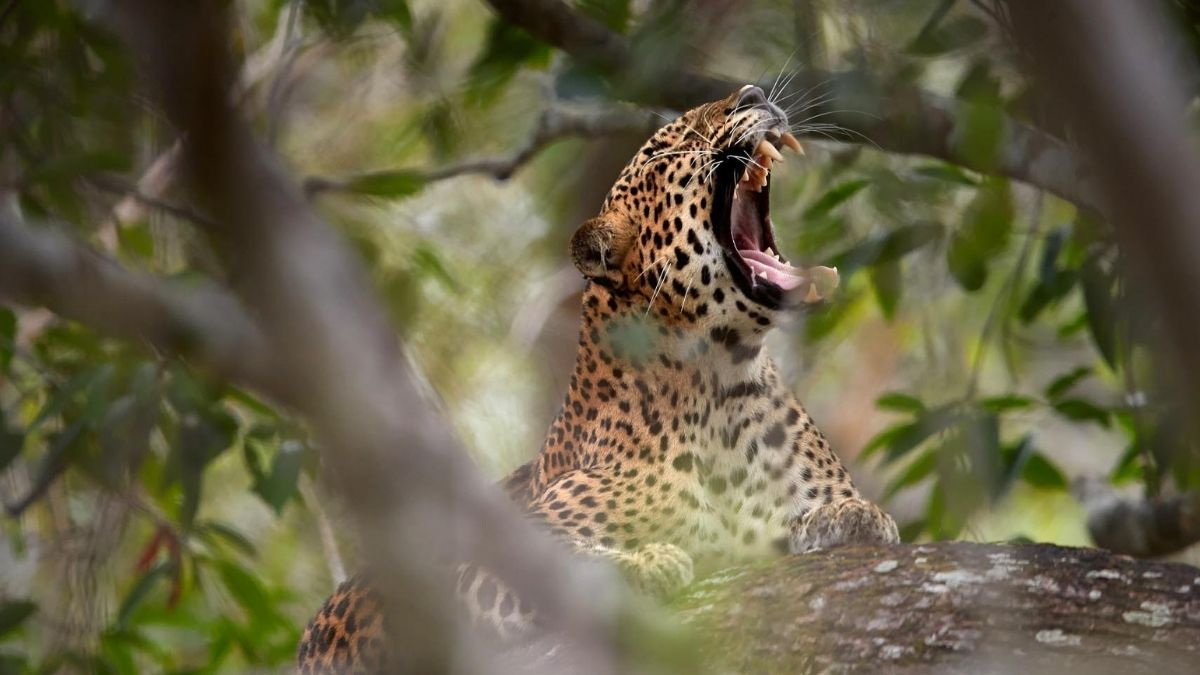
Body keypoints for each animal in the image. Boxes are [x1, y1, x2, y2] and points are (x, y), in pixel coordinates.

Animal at [297, 84, 902, 672]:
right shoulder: (477, 571)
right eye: (673, 145)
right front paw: (651, 560)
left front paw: (848, 515)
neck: (723, 384)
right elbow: (574, 565)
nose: (753, 93)